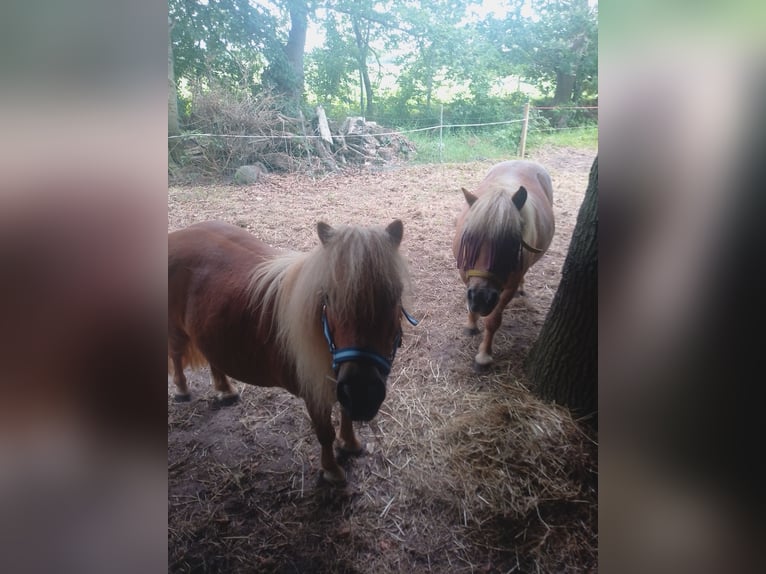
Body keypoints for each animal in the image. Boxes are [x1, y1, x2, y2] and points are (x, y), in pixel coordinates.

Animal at [168, 219, 416, 483]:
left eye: (395, 295)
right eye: (327, 297)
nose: (363, 394)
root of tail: (177, 235)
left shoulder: (339, 383)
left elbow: (345, 413)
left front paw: (350, 444)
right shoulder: (314, 392)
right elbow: (325, 432)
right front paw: (331, 470)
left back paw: (226, 390)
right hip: (177, 332)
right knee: (176, 355)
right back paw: (182, 390)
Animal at [453, 160, 555, 369]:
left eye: (513, 242)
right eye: (469, 237)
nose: (482, 298)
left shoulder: (506, 290)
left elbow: (493, 321)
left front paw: (484, 356)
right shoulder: (466, 276)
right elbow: (470, 306)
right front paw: (471, 325)